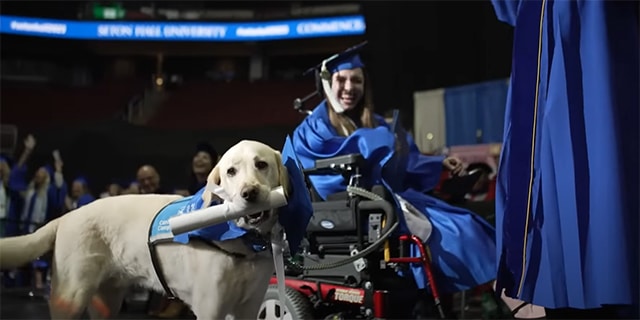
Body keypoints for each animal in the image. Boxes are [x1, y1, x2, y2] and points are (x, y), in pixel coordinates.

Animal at [0, 140, 288, 320]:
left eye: (261, 164)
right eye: (231, 172)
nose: (249, 193)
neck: (242, 242)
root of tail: (66, 216)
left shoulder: (249, 307)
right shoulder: (210, 308)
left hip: (106, 302)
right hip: (70, 297)